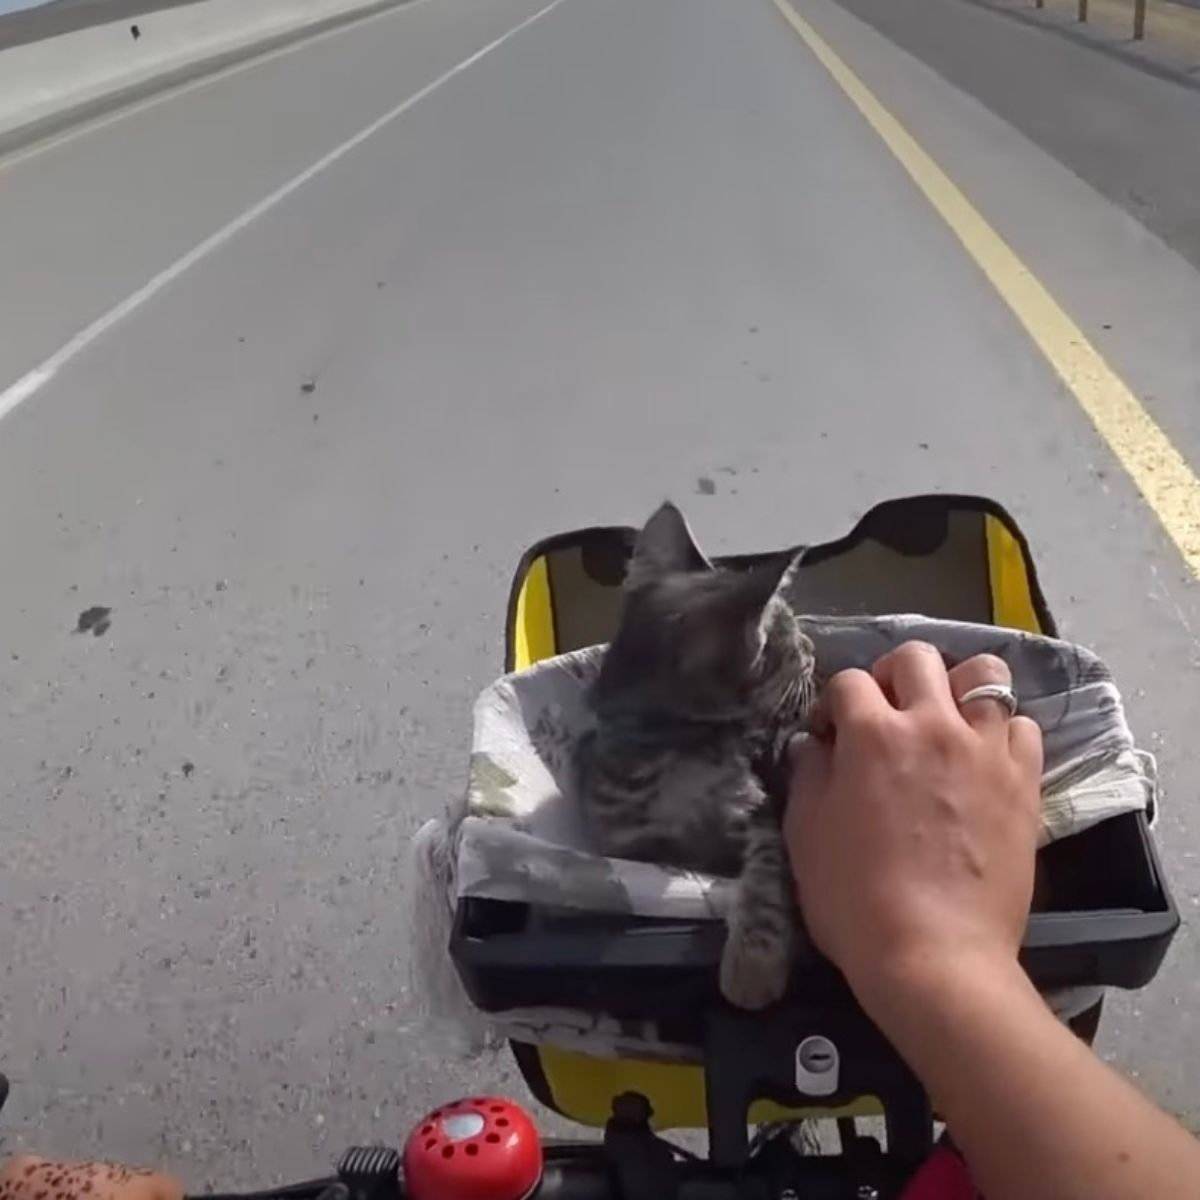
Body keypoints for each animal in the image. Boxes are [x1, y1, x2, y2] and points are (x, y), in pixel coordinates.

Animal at [571, 501, 816, 1008]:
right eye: (792, 644)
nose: (814, 648)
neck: (674, 757)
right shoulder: (626, 844)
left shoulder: (765, 813)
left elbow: (768, 872)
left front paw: (753, 966)